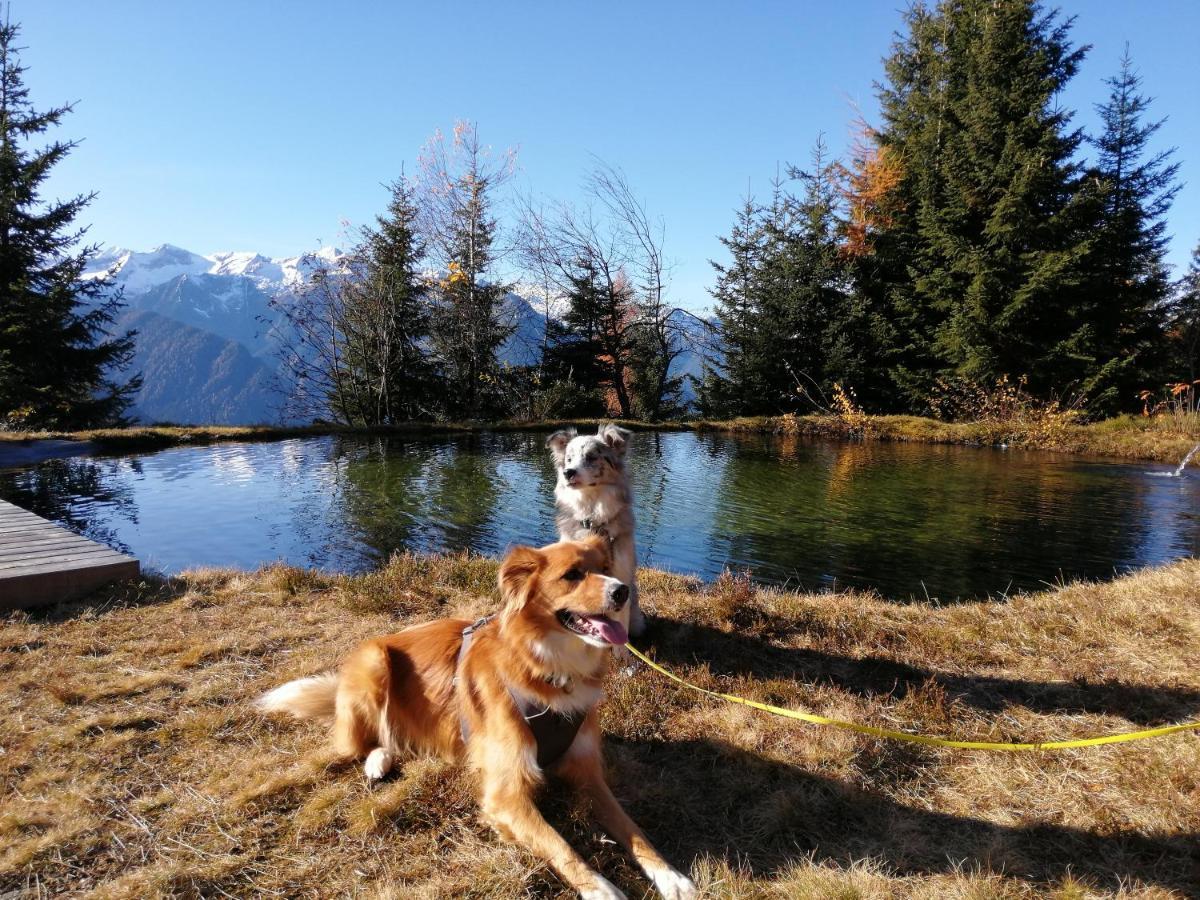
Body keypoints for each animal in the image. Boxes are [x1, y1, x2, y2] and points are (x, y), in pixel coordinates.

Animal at [258, 540, 700, 897]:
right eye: (572, 575)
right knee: (360, 741)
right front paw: (599, 888)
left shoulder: (586, 772)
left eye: (606, 568)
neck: (550, 668)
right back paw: (376, 759)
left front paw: (670, 876)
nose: (622, 590)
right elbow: (560, 844)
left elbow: (632, 828)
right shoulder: (506, 793)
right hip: (373, 662)